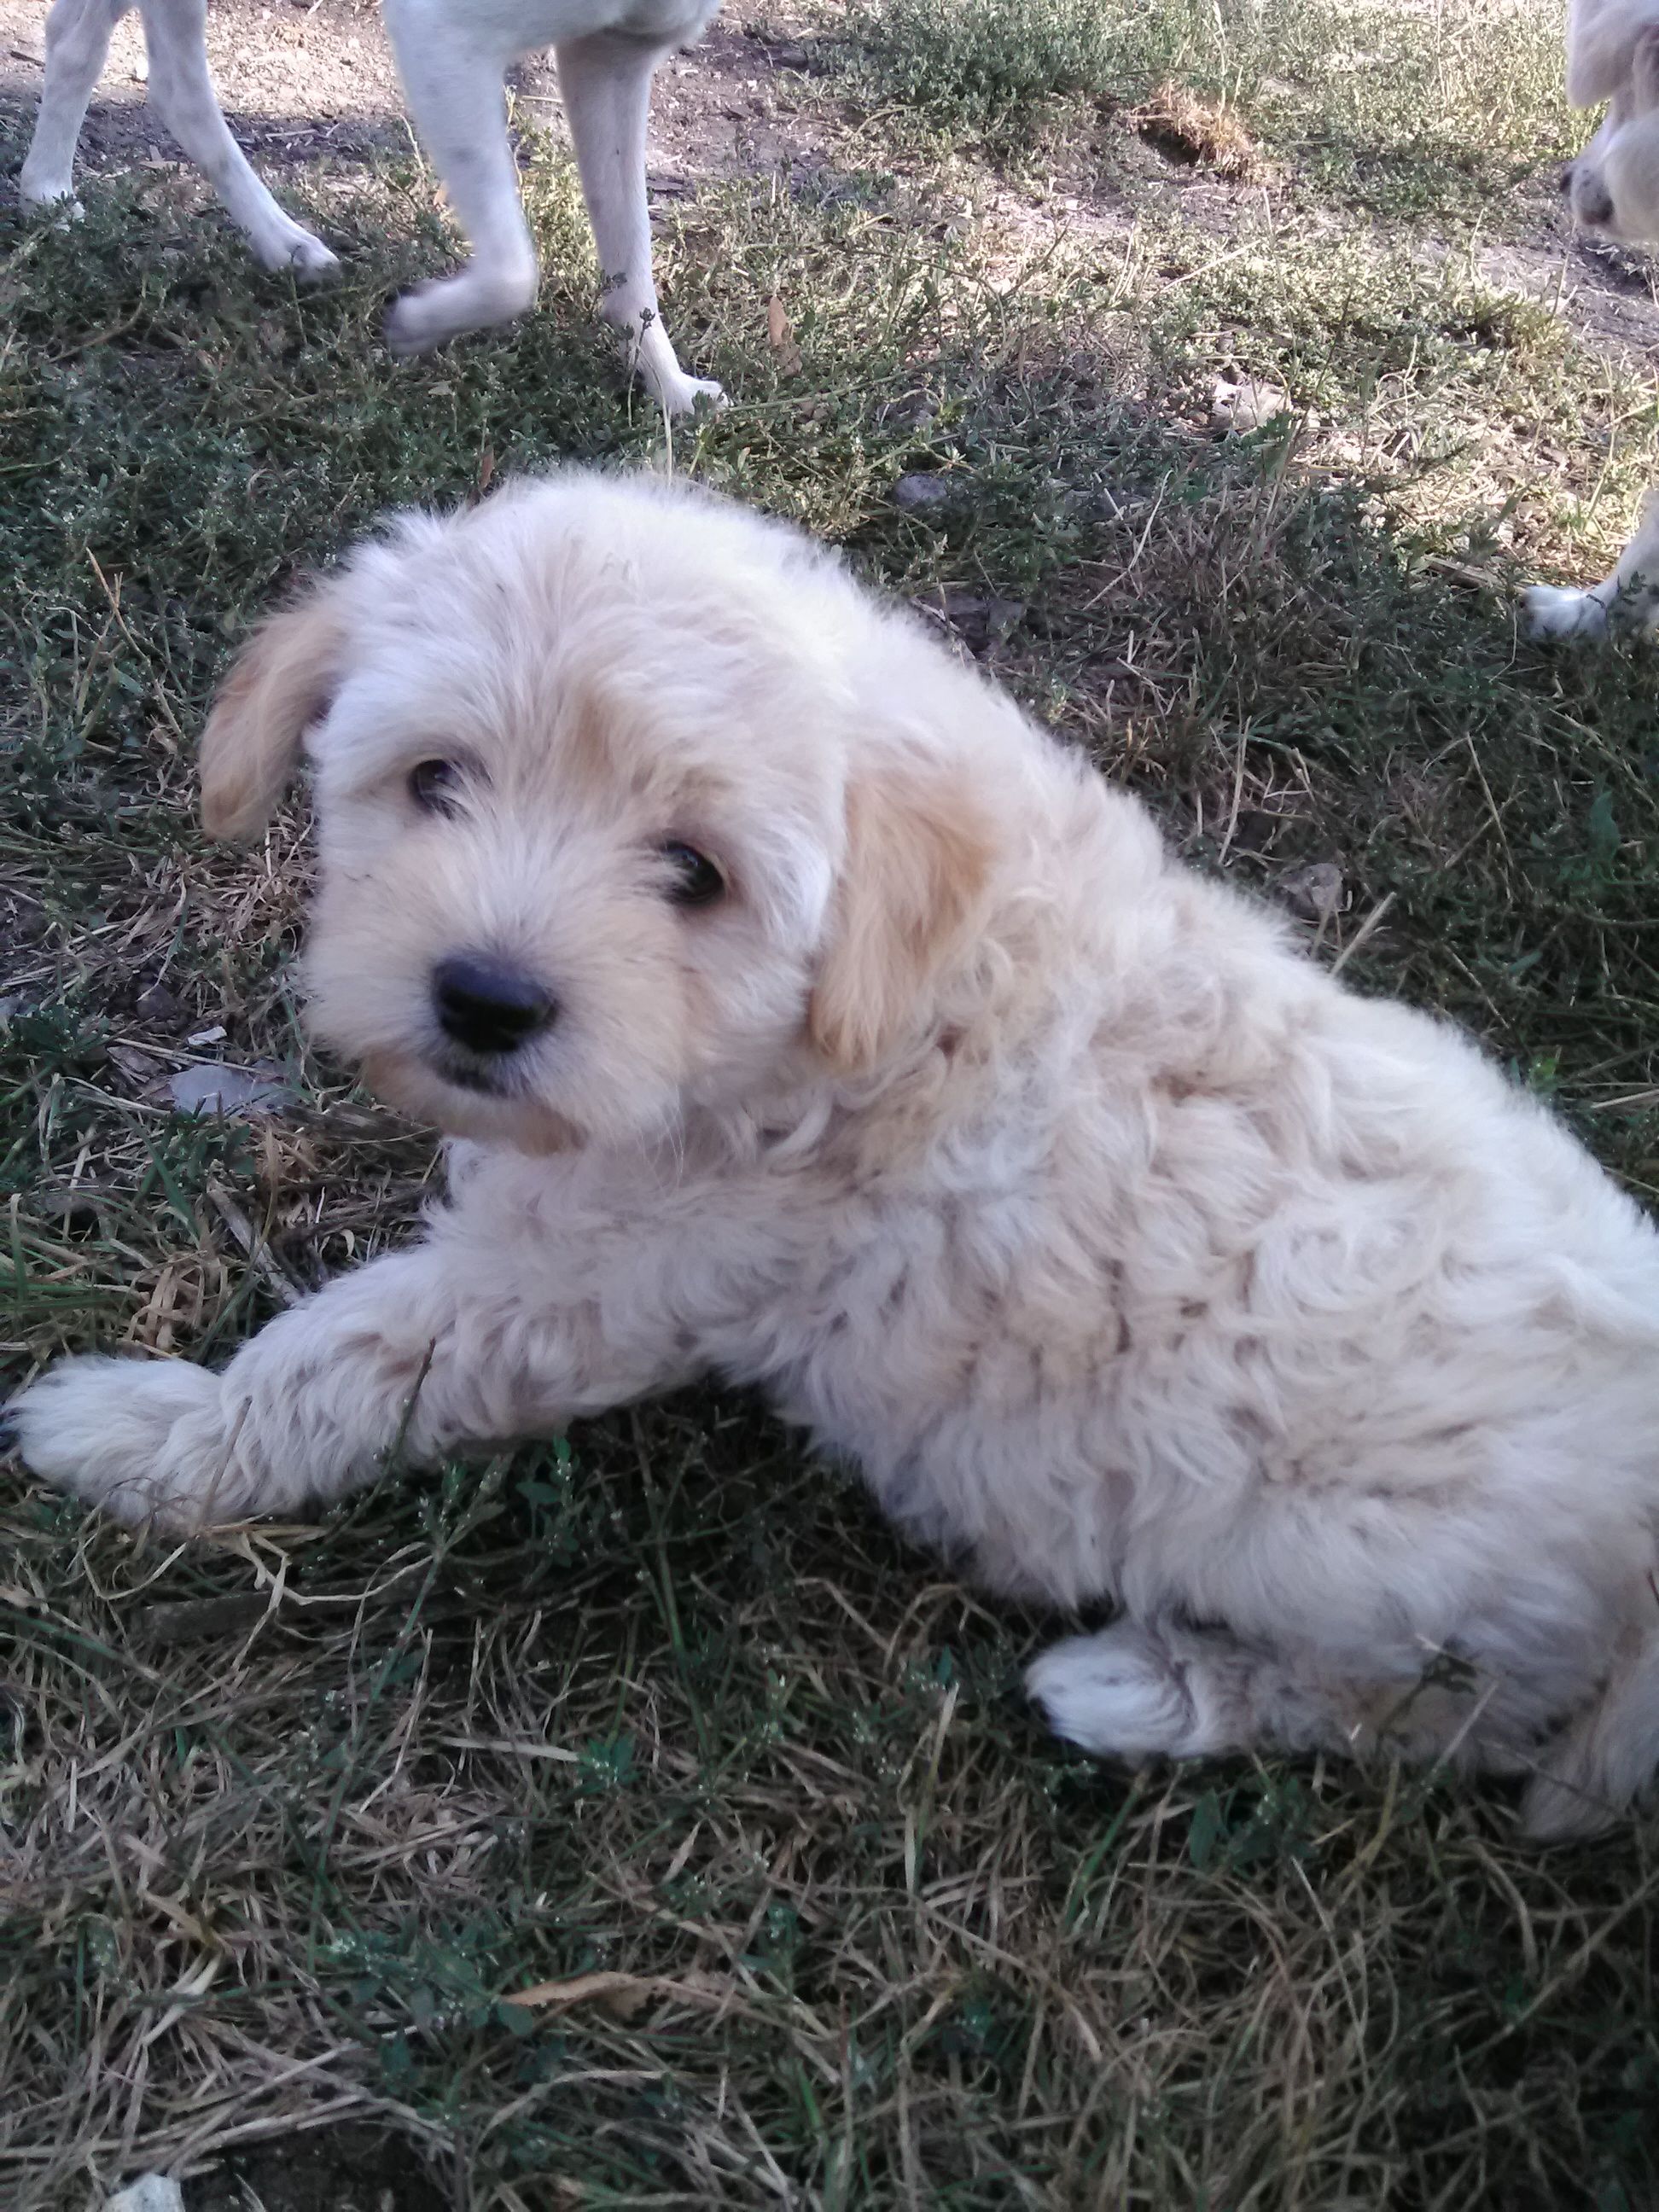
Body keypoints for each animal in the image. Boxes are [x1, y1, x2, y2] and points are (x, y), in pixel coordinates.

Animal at [8, 470, 1659, 1840]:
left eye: (693, 874)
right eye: (433, 780)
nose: (483, 999)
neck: (868, 999)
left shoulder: (599, 1274)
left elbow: (344, 1358)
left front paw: (154, 1435)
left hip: (1361, 1569)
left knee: (1443, 1721)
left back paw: (1147, 1689)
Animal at [16, 0, 725, 415]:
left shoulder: (613, 55)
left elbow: (630, 269)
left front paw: (669, 391)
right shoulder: (443, 34)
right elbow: (513, 274)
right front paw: (417, 324)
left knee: (107, 50)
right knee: (160, 74)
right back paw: (50, 193)